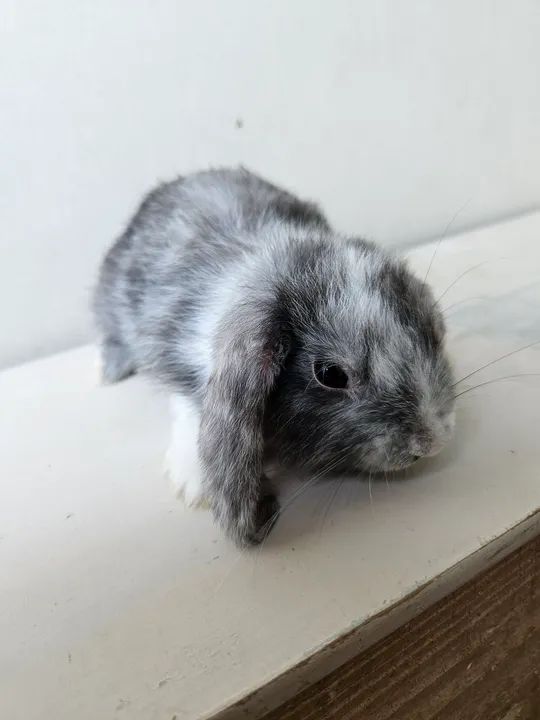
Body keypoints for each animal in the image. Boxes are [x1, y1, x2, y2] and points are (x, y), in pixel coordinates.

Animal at [93, 167, 456, 546]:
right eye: (331, 375)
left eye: (431, 333)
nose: (432, 443)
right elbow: (188, 406)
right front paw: (196, 486)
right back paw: (108, 371)